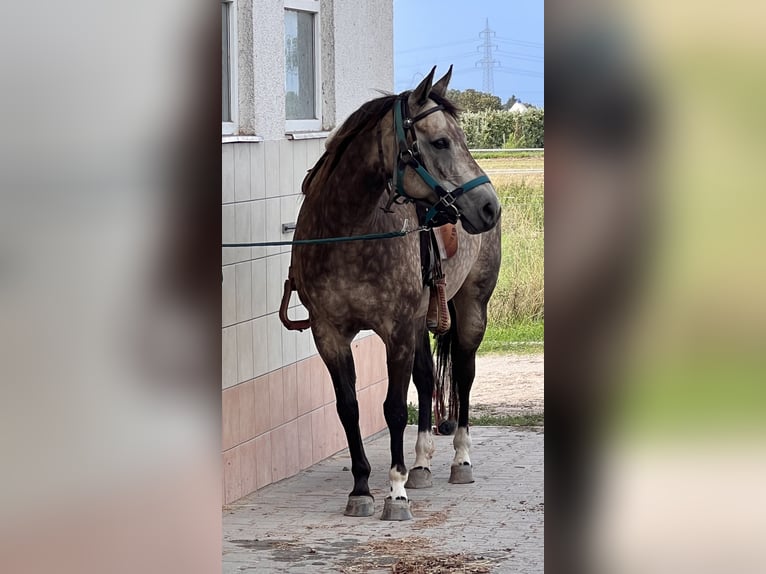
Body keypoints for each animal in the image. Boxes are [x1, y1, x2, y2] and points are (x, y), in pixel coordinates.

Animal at [284, 66, 501, 521]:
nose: (489, 207)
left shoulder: (396, 331)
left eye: (461, 137)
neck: (349, 233)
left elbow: (394, 408)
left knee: (464, 374)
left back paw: (460, 460)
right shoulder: (329, 334)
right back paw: (421, 464)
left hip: (471, 308)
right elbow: (349, 407)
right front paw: (361, 489)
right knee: (427, 378)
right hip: (422, 320)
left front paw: (396, 491)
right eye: (440, 141)